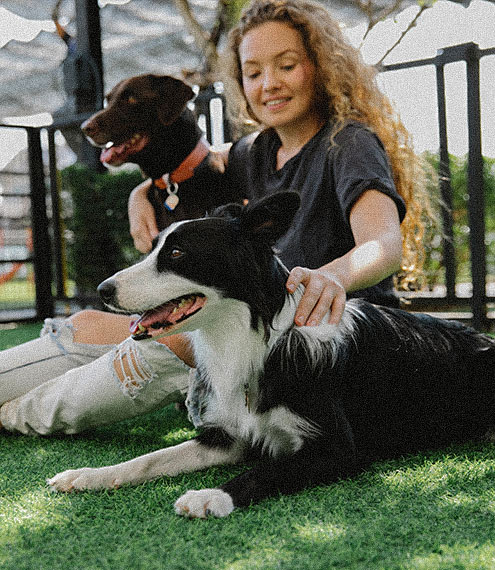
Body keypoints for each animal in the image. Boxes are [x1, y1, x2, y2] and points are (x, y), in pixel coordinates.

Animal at [48, 191, 495, 516]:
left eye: (176, 254)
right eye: (153, 247)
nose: (104, 290)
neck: (250, 339)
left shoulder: (337, 449)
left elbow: (267, 469)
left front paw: (211, 496)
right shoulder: (227, 436)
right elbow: (150, 459)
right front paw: (89, 475)